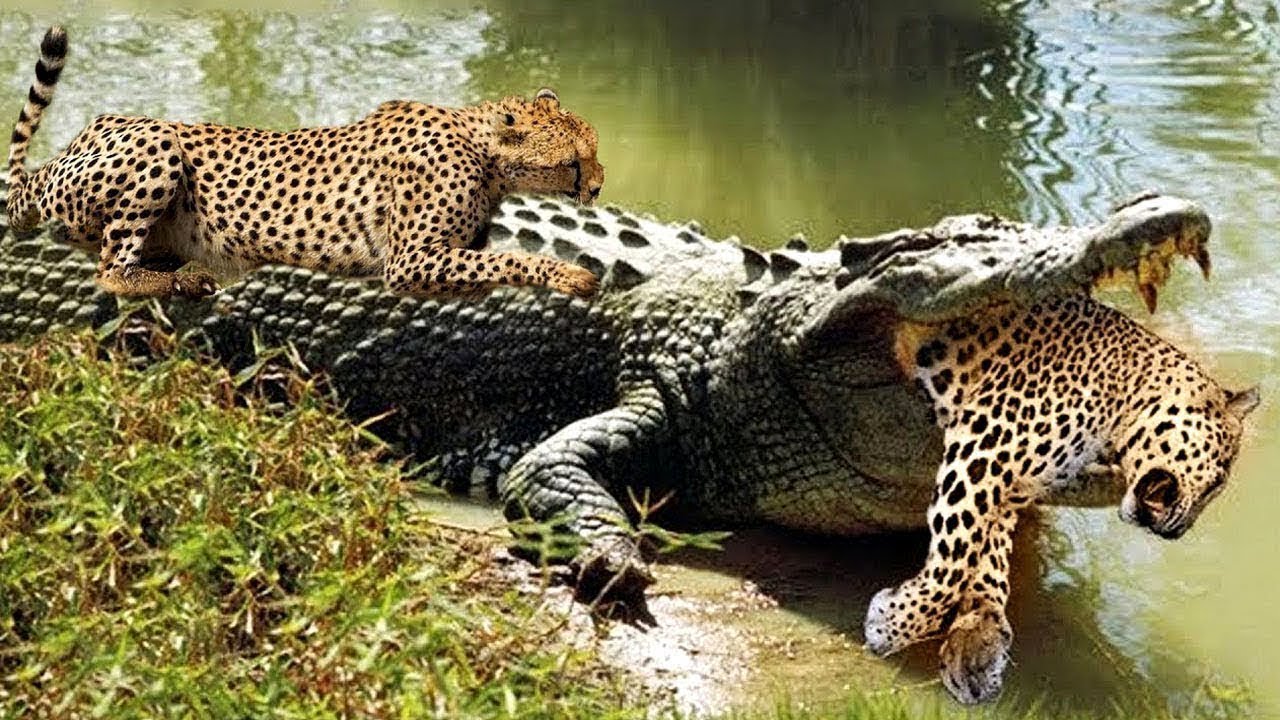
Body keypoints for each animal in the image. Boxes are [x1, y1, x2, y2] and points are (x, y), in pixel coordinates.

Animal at [6, 26, 604, 301]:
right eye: (576, 162)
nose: (598, 189)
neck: (484, 150)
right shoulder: (409, 261)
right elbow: (509, 257)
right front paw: (568, 274)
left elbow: (489, 263)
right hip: (156, 143)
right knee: (110, 271)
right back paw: (178, 281)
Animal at [864, 294, 1258, 704]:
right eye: (1218, 481)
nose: (1178, 533)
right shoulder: (985, 449)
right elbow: (955, 560)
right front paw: (890, 626)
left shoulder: (1015, 484)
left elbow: (986, 555)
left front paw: (973, 641)